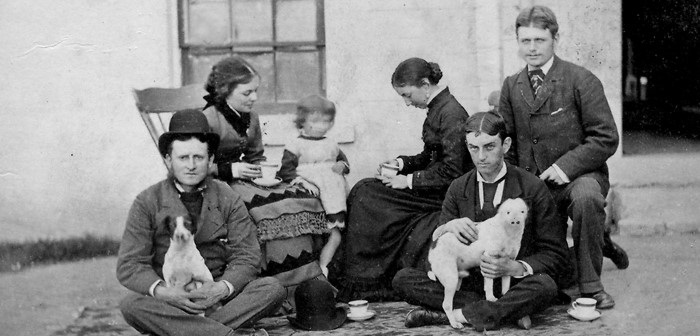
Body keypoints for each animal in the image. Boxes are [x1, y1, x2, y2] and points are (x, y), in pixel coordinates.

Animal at [426, 197, 524, 328]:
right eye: (508, 212)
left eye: (522, 211)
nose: (516, 221)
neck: (507, 230)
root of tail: (433, 246)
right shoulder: (489, 258)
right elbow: (489, 284)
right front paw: (491, 298)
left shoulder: (508, 263)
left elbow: (505, 285)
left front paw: (504, 294)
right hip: (450, 279)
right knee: (446, 305)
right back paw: (454, 323)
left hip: (456, 280)